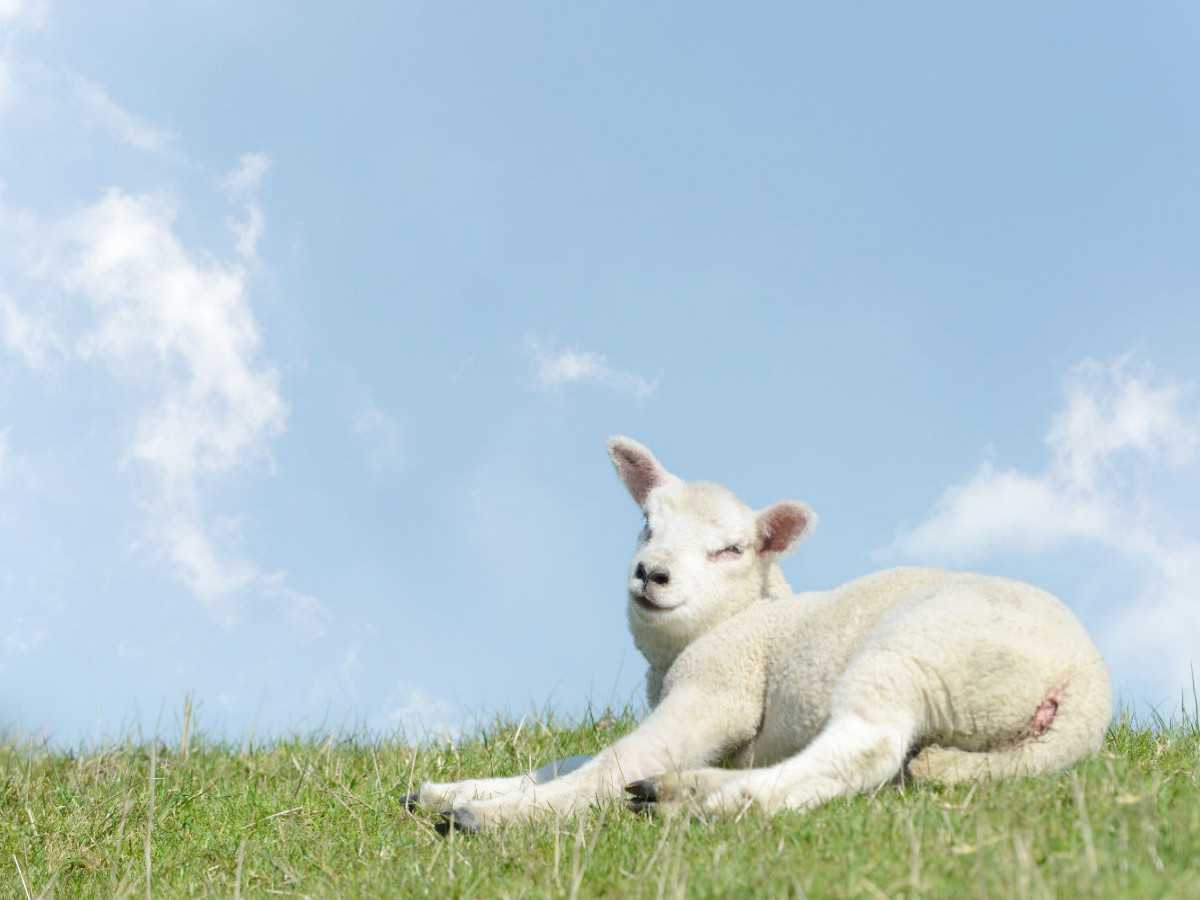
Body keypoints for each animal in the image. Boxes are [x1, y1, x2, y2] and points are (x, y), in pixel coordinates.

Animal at [415, 436, 1113, 830]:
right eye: (645, 523)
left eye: (730, 549)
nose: (651, 574)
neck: (733, 620)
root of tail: (1085, 683)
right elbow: (575, 759)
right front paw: (452, 788)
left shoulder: (720, 688)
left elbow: (611, 763)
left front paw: (492, 812)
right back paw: (682, 789)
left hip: (918, 655)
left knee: (864, 751)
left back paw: (708, 803)